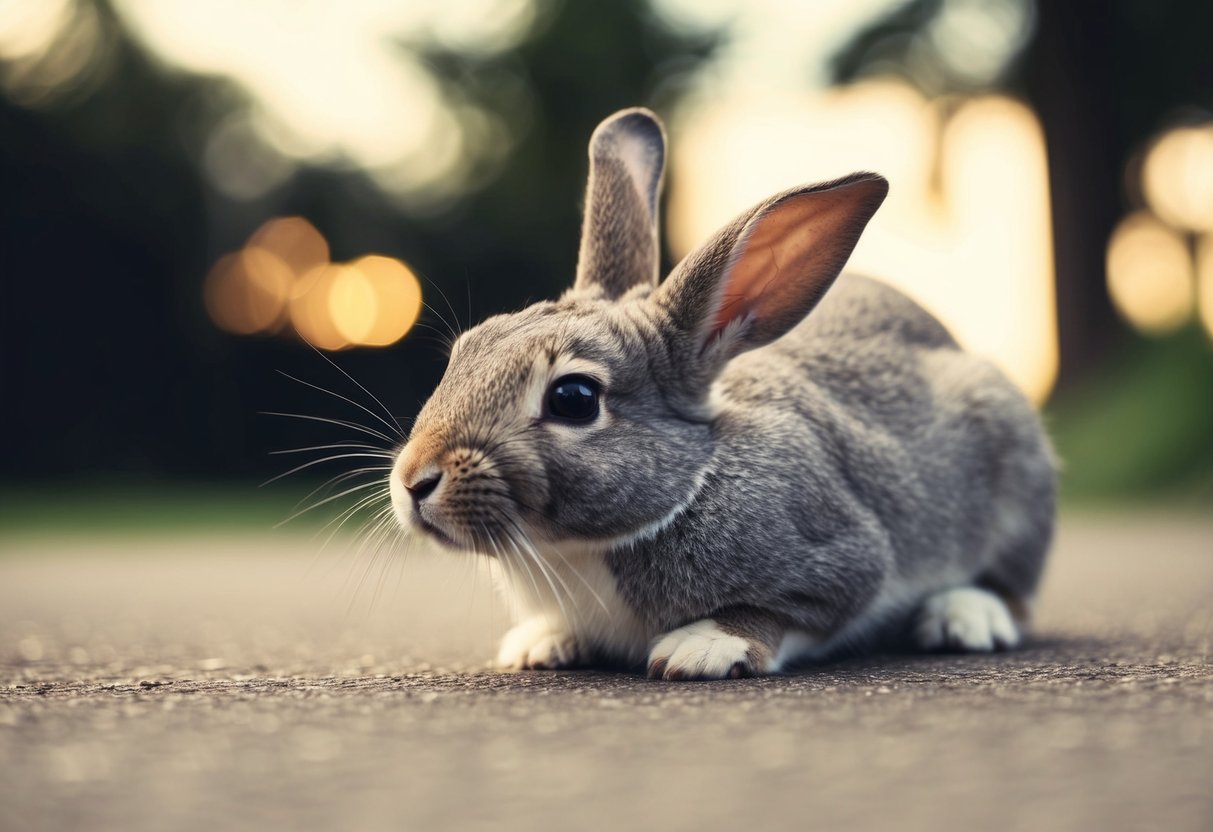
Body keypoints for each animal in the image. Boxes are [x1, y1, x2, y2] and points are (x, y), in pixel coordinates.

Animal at [389, 107, 1056, 680]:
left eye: (574, 398)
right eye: (467, 349)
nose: (415, 480)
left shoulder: (844, 560)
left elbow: (789, 612)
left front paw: (702, 649)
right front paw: (541, 642)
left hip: (1013, 477)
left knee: (1013, 589)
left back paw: (964, 616)